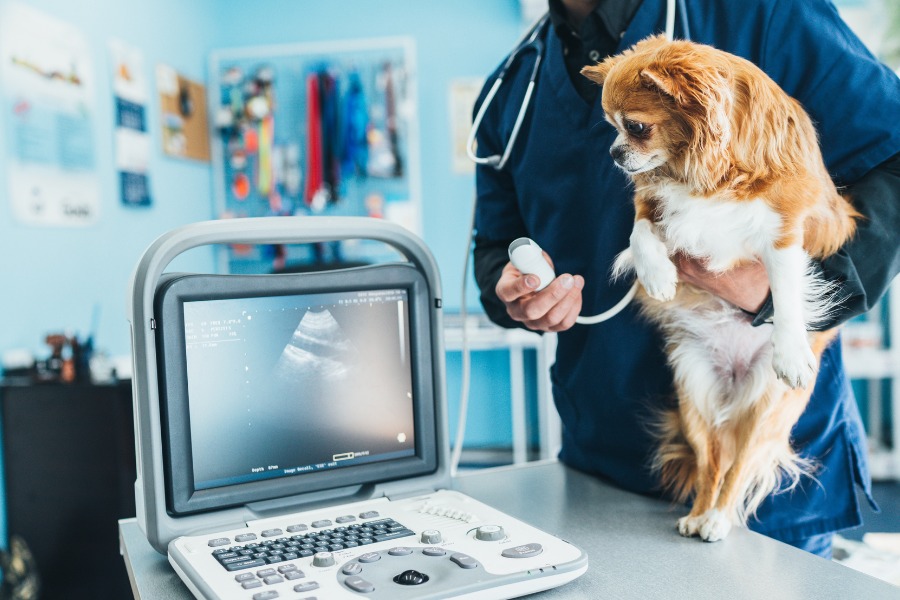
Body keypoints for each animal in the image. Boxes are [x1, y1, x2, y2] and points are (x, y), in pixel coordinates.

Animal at [580, 37, 860, 544]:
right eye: (612, 128)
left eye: (636, 127)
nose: (614, 153)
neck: (708, 173)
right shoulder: (653, 202)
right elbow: (640, 232)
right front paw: (658, 275)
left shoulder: (785, 229)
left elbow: (785, 291)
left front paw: (792, 351)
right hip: (694, 398)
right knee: (712, 462)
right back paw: (698, 514)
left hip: (765, 409)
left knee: (738, 466)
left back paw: (717, 518)